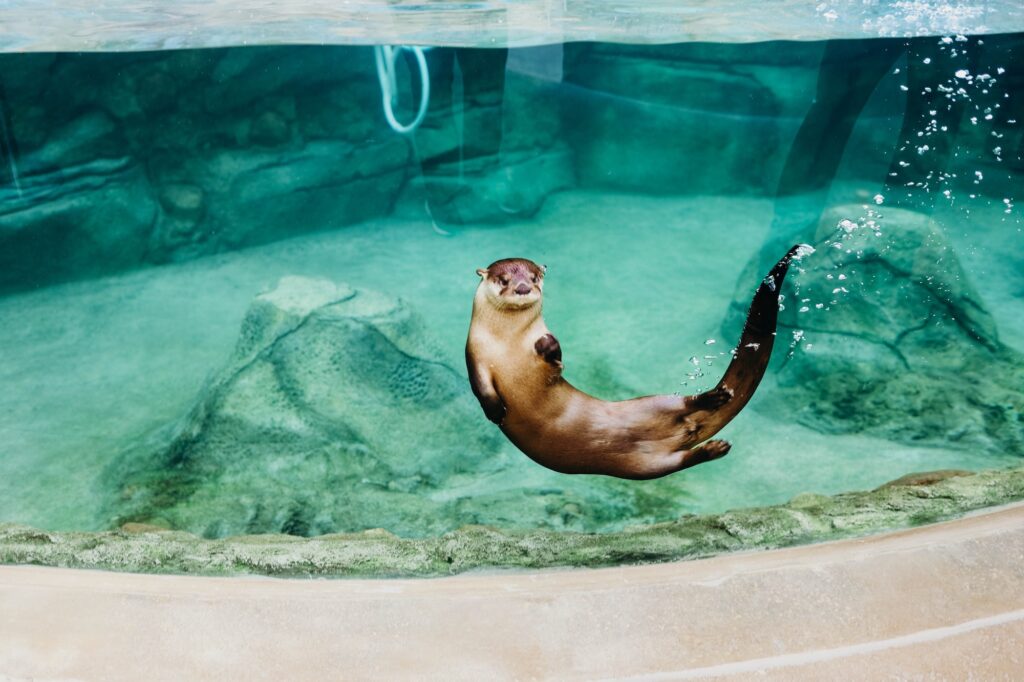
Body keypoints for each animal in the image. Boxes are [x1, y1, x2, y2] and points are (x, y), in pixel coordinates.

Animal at [465, 245, 807, 480]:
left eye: (534, 277)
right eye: (503, 279)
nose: (523, 287)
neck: (510, 342)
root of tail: (685, 431)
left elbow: (554, 364)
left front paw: (549, 347)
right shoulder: (475, 355)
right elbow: (480, 387)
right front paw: (495, 411)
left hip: (652, 406)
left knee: (682, 405)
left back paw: (714, 400)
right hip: (643, 466)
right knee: (680, 461)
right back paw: (714, 447)